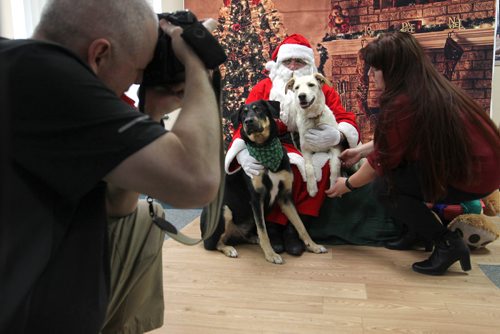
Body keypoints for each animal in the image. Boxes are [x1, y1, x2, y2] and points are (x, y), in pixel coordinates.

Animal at [199, 99, 328, 264]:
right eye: (243, 114)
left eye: (258, 109)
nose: (248, 121)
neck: (264, 147)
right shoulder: (256, 199)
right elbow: (263, 231)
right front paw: (271, 255)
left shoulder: (285, 196)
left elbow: (300, 225)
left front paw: (313, 246)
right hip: (224, 211)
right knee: (213, 243)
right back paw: (229, 249)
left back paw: (252, 239)